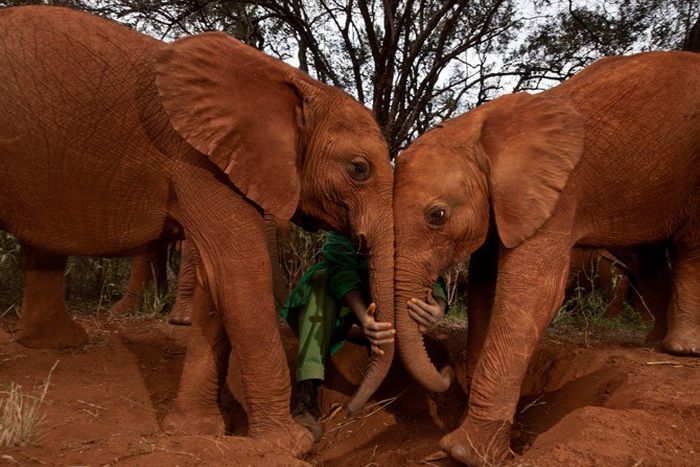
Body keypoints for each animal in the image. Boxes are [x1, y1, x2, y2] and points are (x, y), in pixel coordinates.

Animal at [0, 4, 394, 458]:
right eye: (359, 169)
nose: (347, 412)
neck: (292, 83)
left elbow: (215, 279)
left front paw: (197, 431)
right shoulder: (193, 158)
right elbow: (237, 269)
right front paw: (291, 443)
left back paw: (56, 344)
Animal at [394, 51, 700, 464]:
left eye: (437, 216)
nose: (445, 373)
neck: (480, 127)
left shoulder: (560, 193)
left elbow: (531, 291)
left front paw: (464, 452)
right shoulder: (505, 200)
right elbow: (485, 285)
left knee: (688, 244)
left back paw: (681, 348)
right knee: (648, 256)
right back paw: (654, 343)